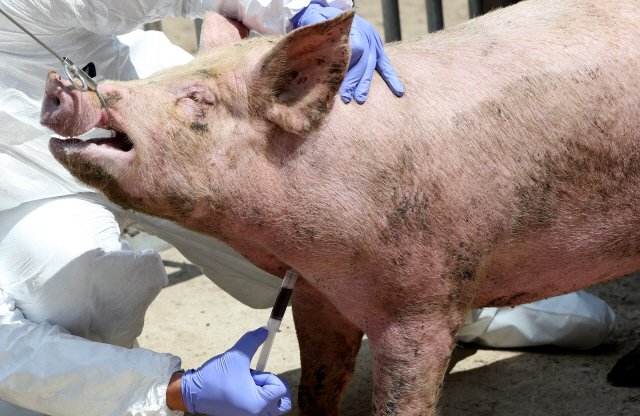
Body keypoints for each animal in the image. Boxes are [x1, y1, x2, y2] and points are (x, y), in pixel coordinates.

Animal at [41, 0, 640, 412]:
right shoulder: (313, 293)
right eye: (159, 76)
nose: (62, 84)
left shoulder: (424, 299)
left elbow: (402, 397)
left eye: (197, 99)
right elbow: (318, 382)